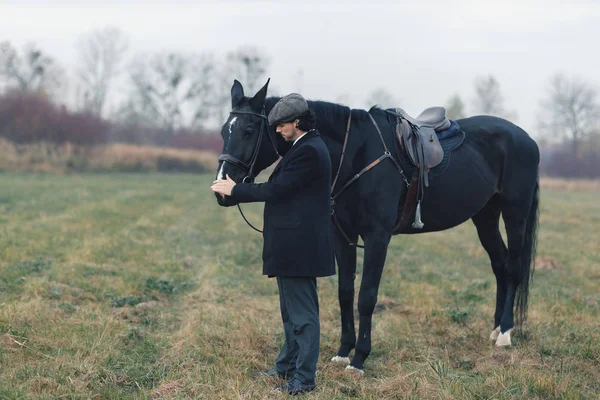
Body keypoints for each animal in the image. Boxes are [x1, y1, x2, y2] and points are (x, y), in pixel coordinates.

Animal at [214, 79, 540, 374]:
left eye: (248, 131)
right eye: (223, 131)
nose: (222, 188)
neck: (356, 152)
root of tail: (527, 138)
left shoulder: (377, 237)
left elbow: (367, 296)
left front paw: (359, 358)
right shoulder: (342, 235)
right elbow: (345, 292)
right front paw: (343, 351)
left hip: (515, 211)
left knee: (512, 267)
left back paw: (506, 333)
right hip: (485, 216)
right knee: (499, 265)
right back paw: (495, 329)